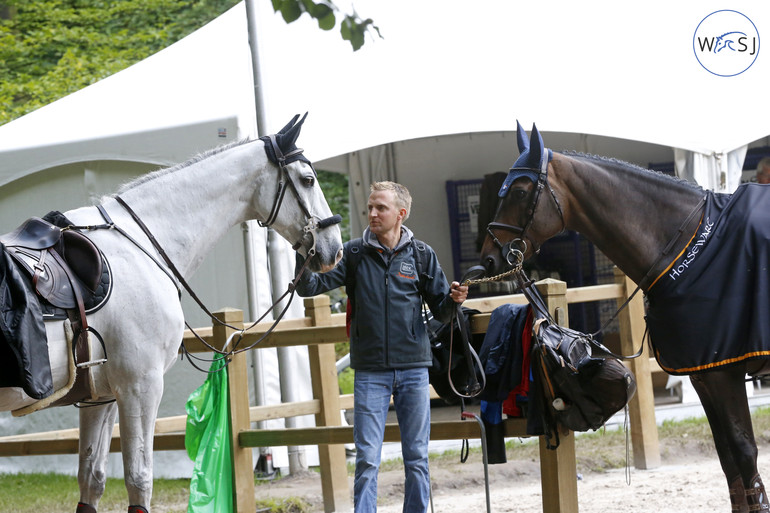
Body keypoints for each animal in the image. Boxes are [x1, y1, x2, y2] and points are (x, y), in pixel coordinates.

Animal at [0, 114, 342, 510]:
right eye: (308, 179)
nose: (335, 250)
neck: (142, 245)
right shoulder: (140, 385)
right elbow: (139, 479)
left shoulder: (99, 395)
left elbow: (91, 480)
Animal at [480, 122, 768, 510]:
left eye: (521, 191)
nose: (489, 257)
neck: (694, 248)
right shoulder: (704, 375)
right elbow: (729, 460)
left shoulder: (724, 371)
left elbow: (743, 452)